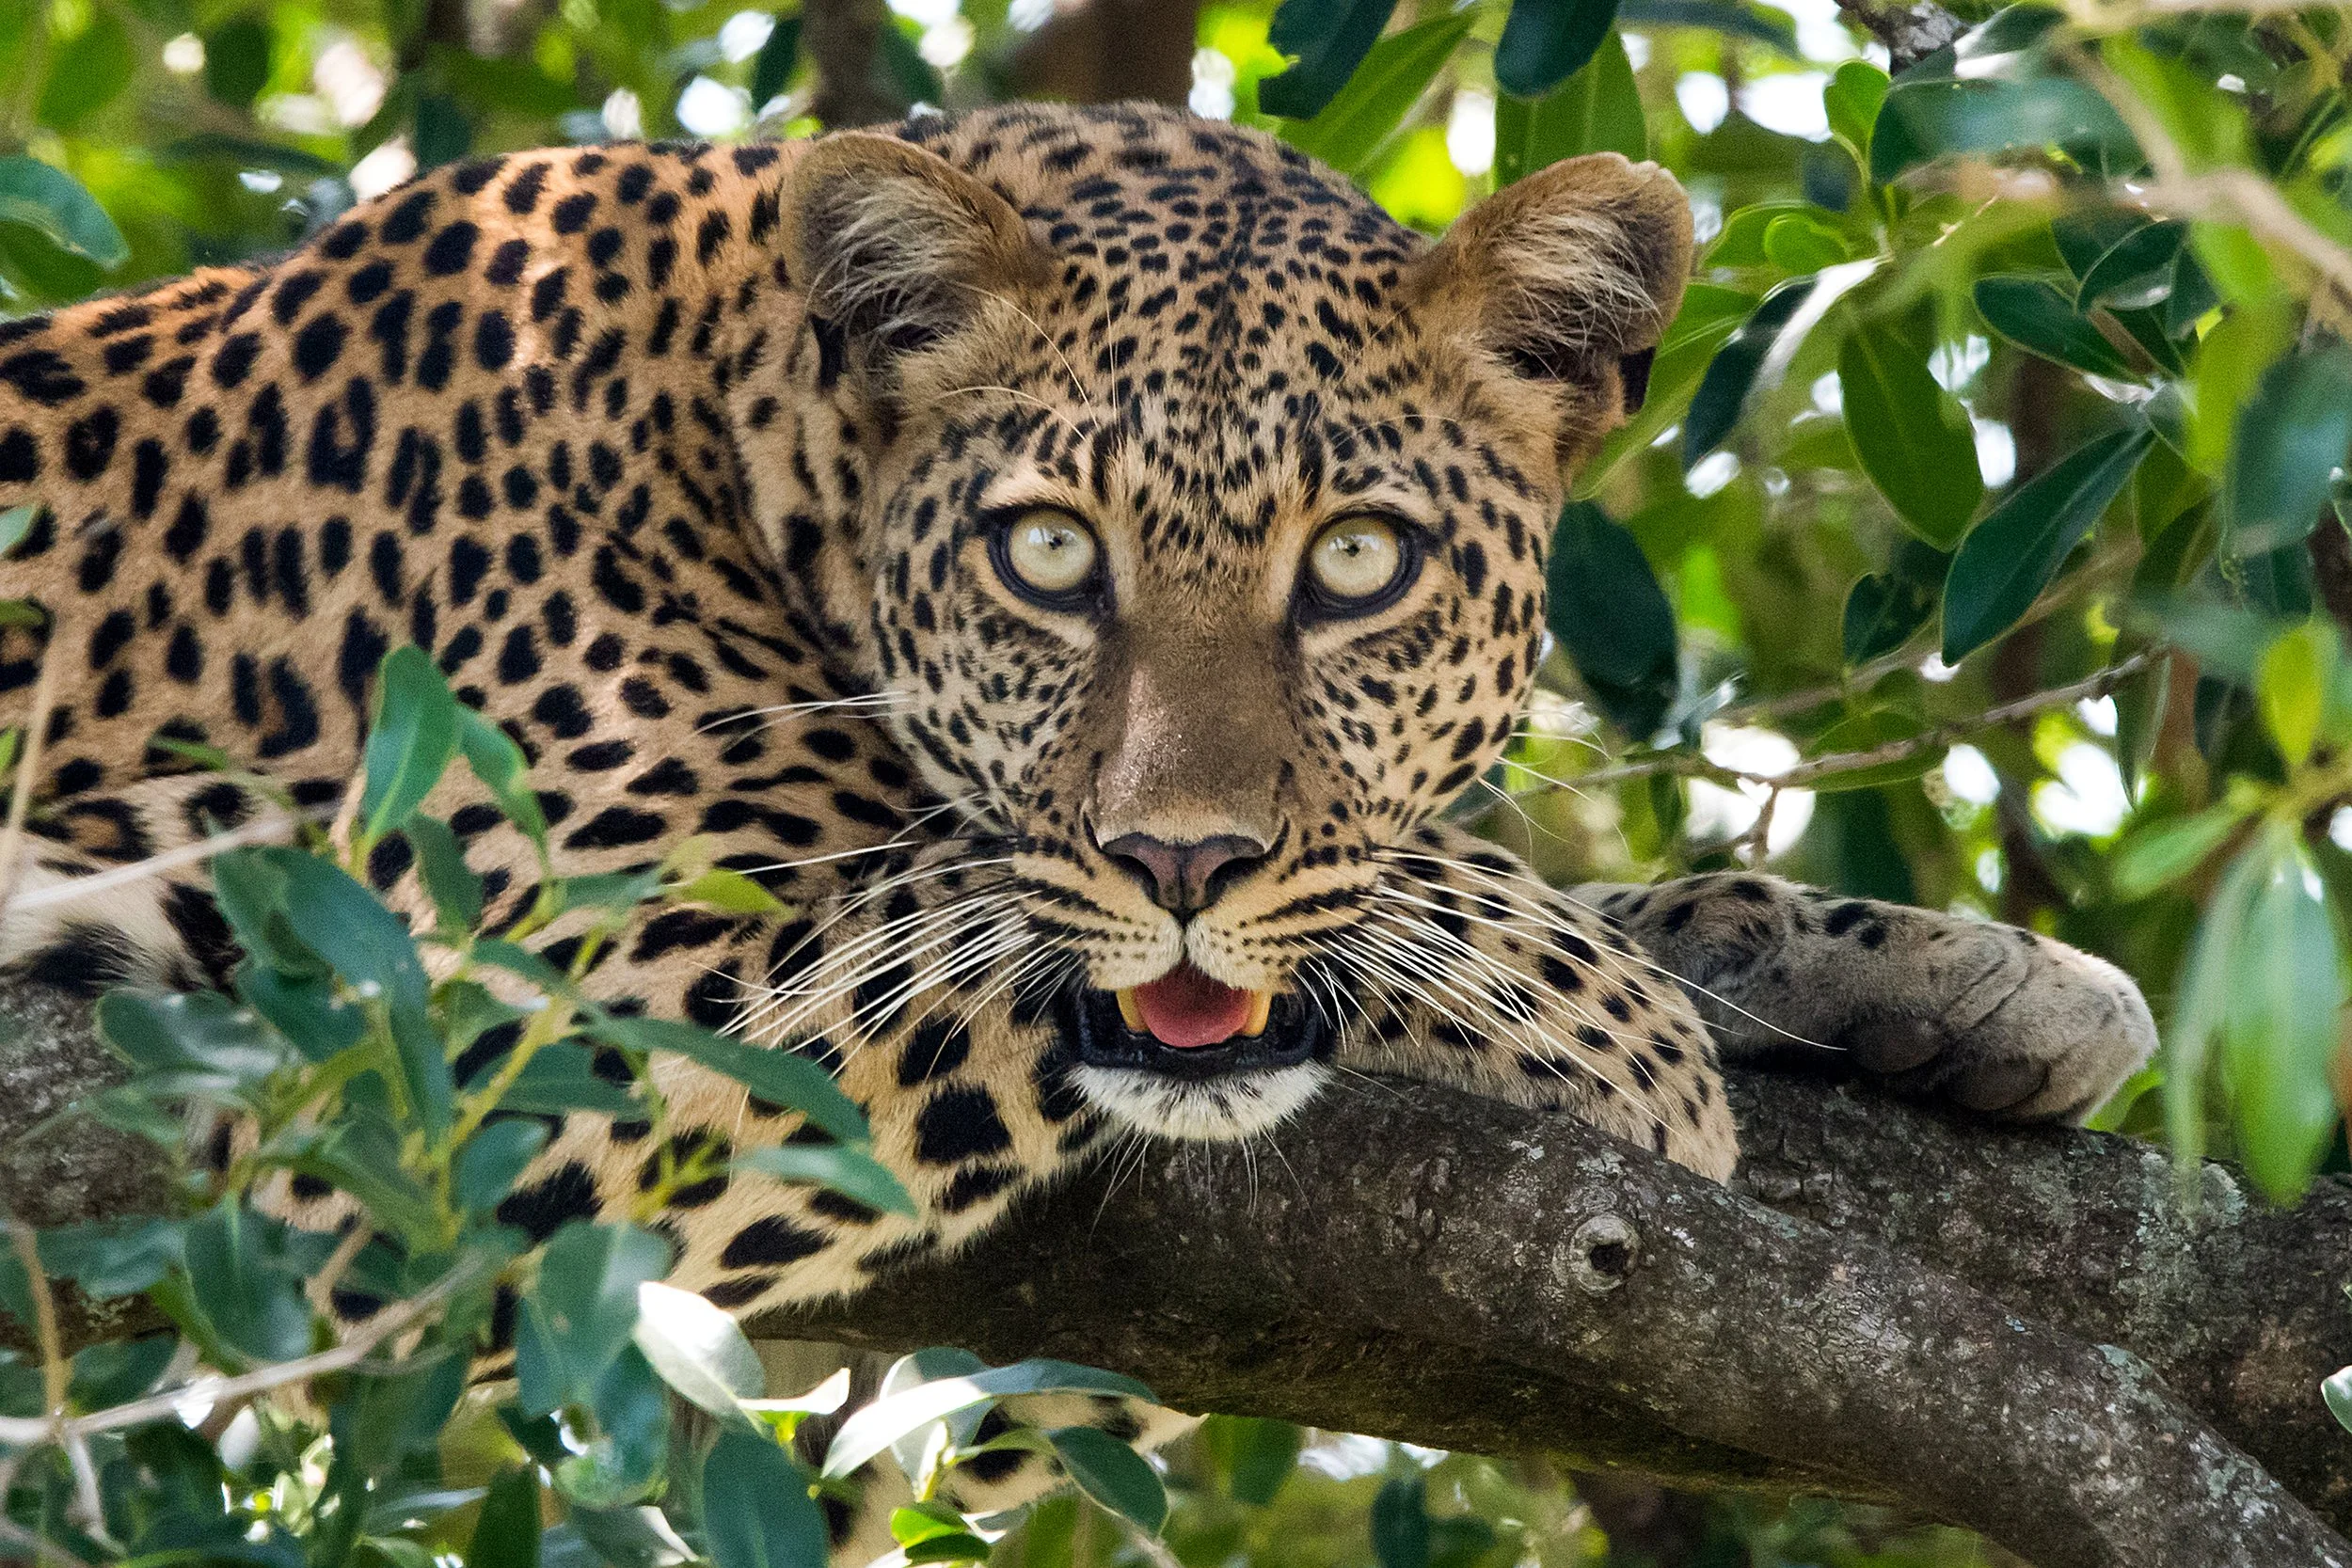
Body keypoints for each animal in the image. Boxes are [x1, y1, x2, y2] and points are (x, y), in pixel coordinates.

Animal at [0, 101, 2155, 1557]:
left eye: (1357, 564)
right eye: (1047, 553)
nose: (1183, 862)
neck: (747, 426)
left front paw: (1960, 976)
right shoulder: (487, 1020)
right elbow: (1078, 892)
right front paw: (1623, 1040)